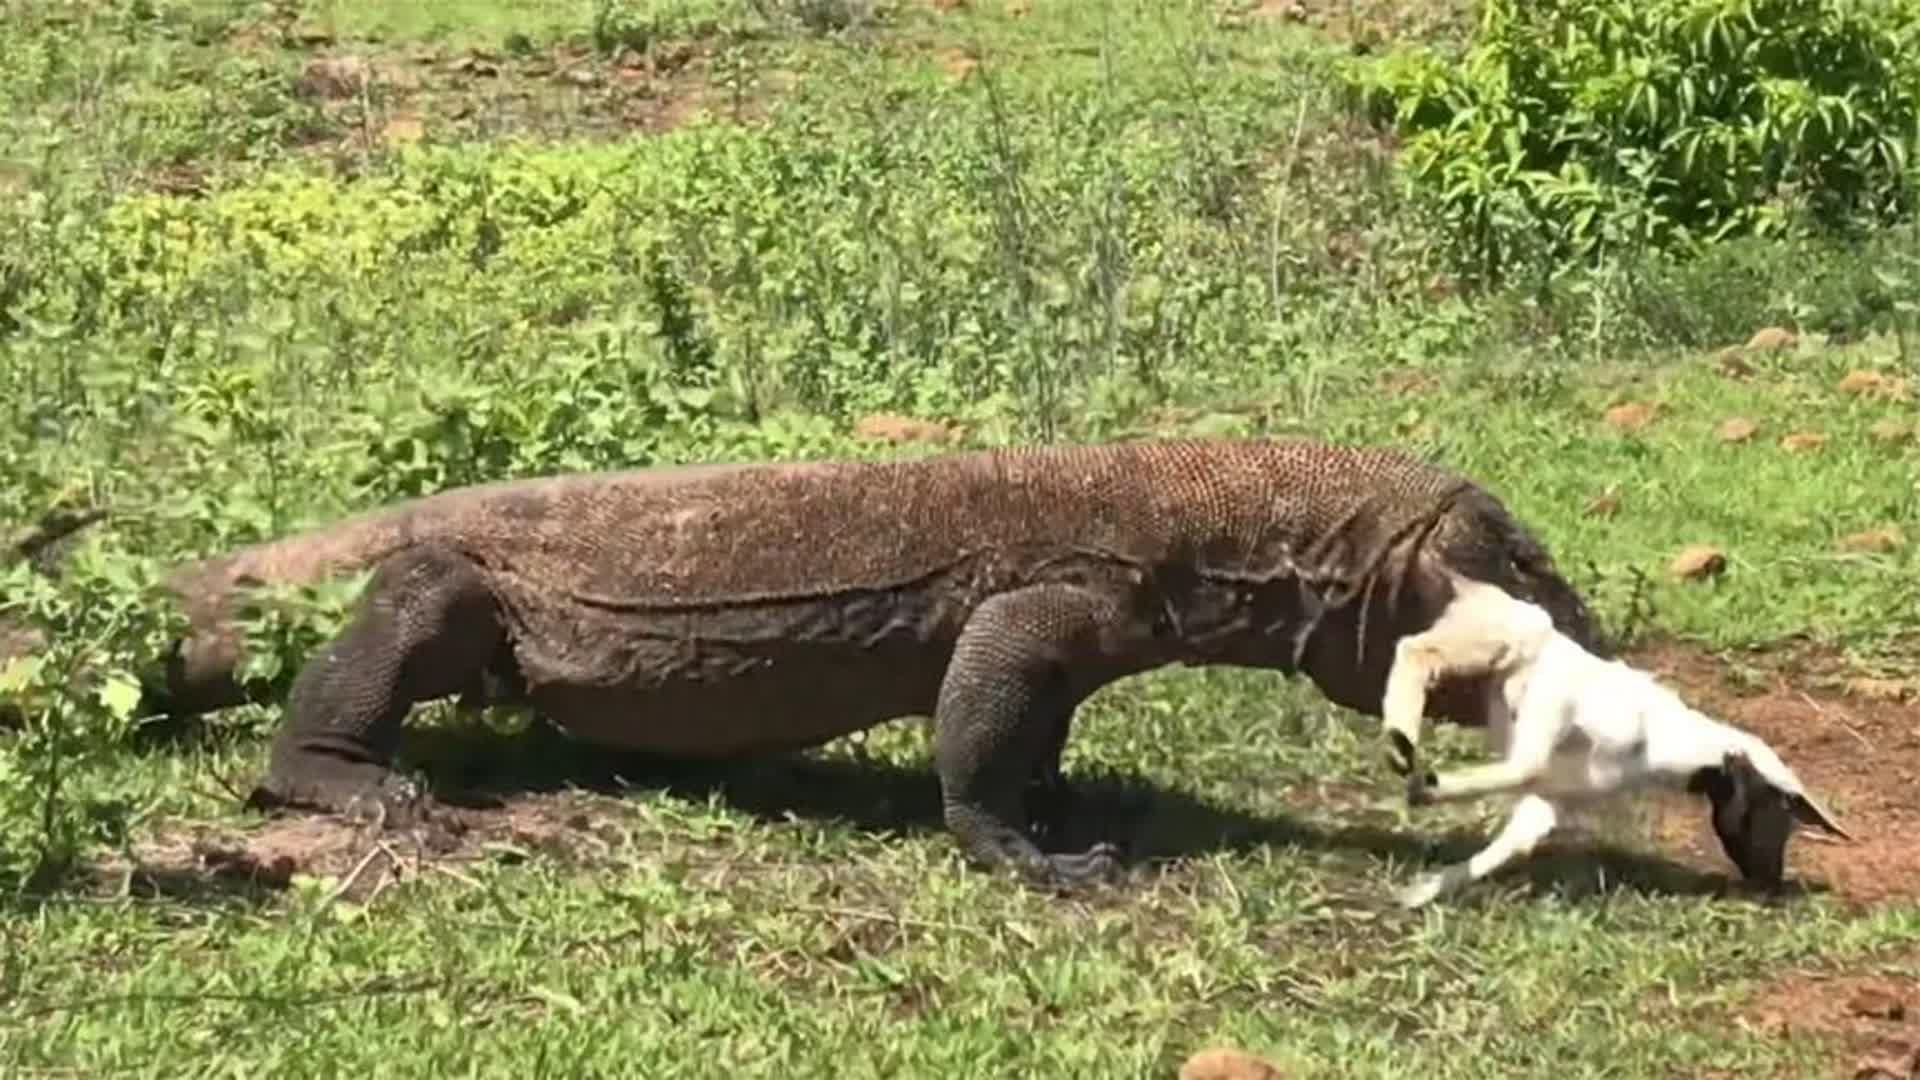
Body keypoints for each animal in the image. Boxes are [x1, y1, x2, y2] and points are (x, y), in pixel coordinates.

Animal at [1382, 576, 1843, 903]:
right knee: (1413, 649)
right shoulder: (1555, 705)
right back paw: (1399, 741)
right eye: (1769, 811)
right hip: (1497, 639)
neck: (1655, 747)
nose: (1771, 882)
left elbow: (1515, 840)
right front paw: (1425, 787)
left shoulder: (1554, 797)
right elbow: (1525, 763)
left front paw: (1422, 892)